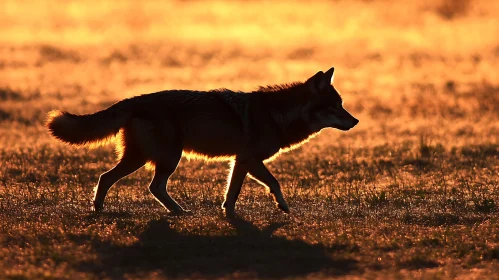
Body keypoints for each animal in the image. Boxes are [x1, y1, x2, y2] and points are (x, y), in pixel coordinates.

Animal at [47, 68, 360, 214]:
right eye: (336, 107)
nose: (356, 121)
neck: (278, 115)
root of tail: (133, 100)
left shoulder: (240, 161)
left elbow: (232, 194)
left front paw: (228, 214)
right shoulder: (251, 159)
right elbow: (275, 183)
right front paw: (282, 207)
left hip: (148, 158)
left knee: (110, 179)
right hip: (163, 159)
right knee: (133, 183)